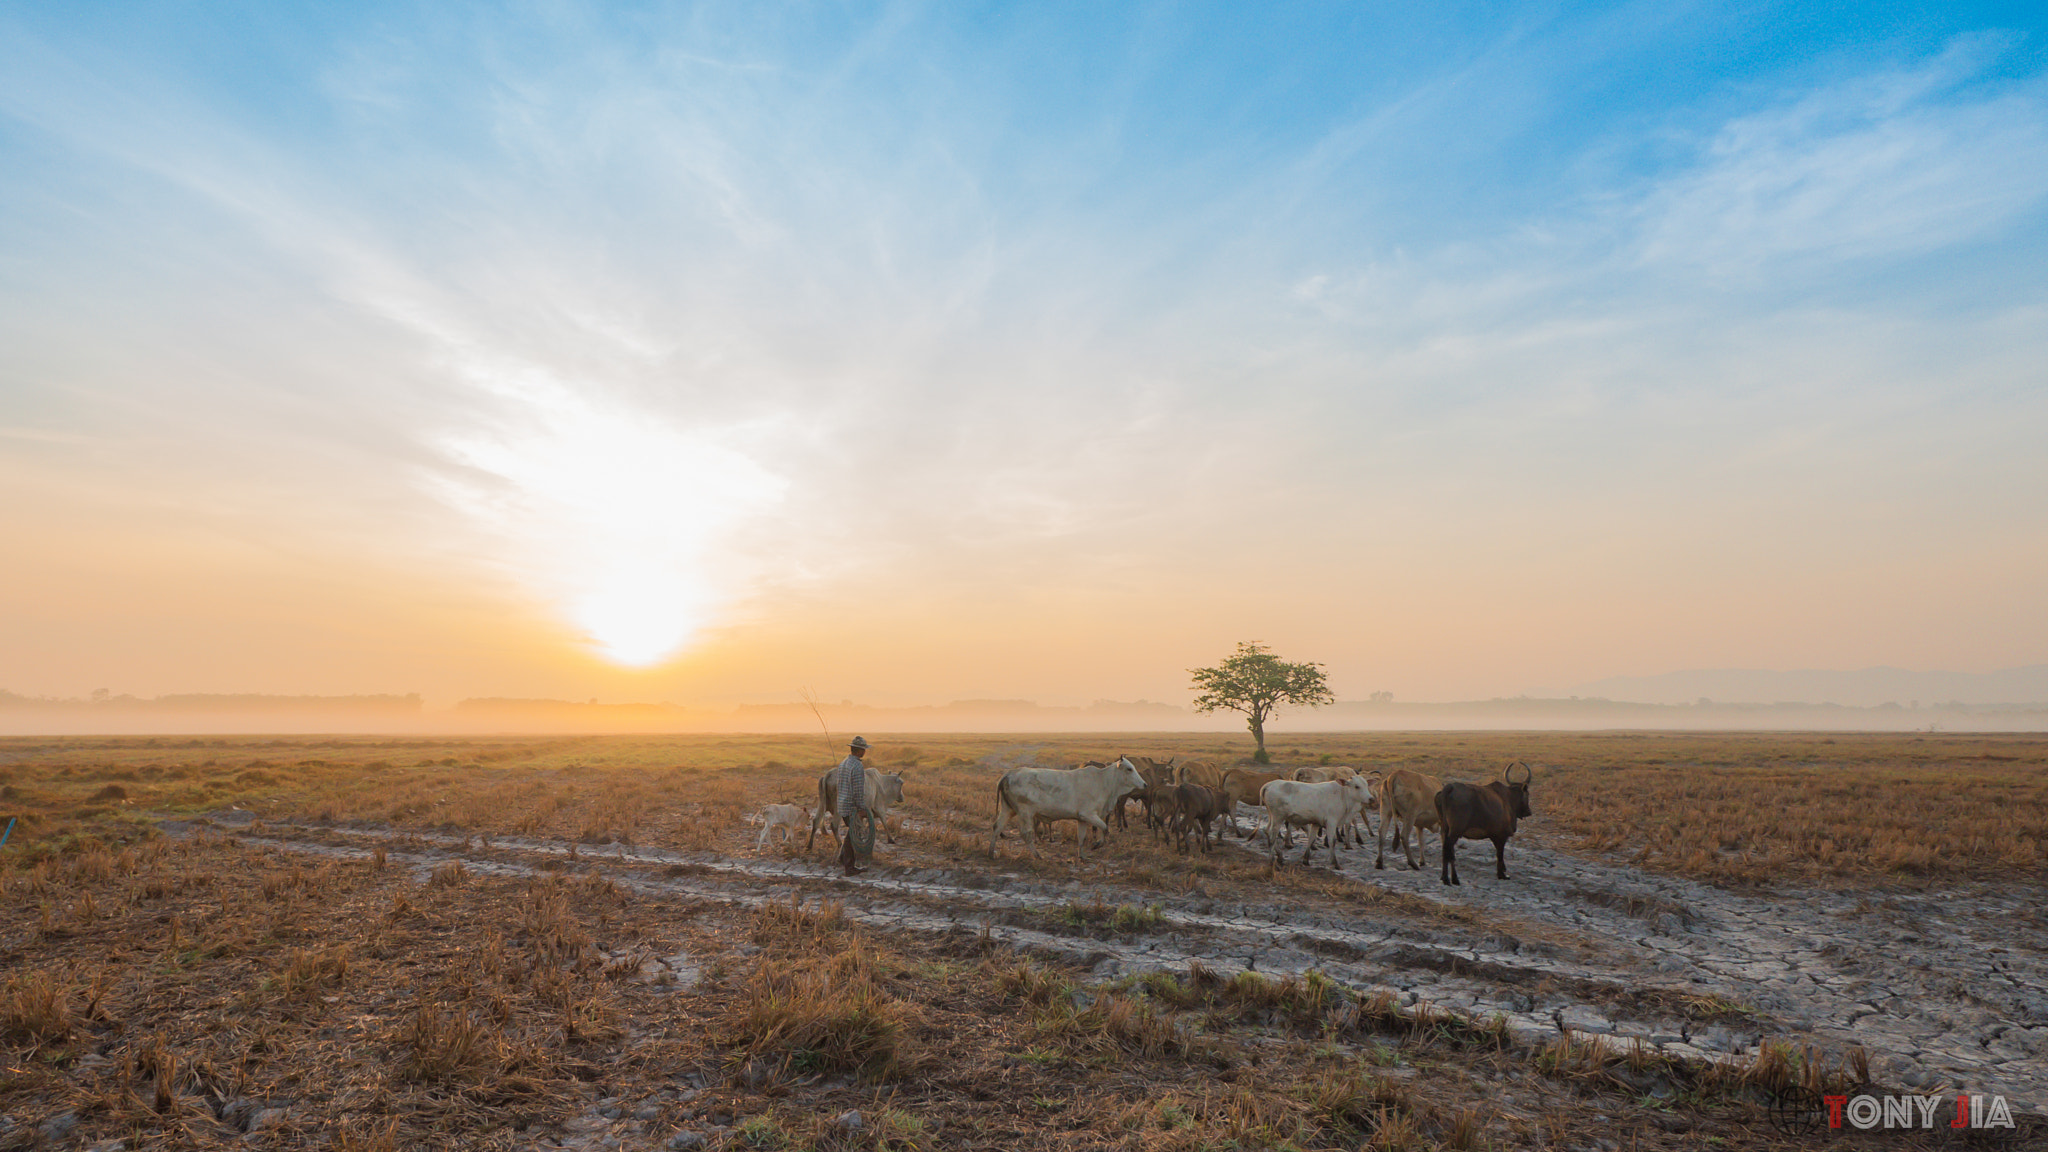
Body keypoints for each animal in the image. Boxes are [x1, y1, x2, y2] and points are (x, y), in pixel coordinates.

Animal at [995, 754, 1155, 852]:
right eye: (1129, 769)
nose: (1145, 784)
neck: (1103, 781)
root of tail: (1008, 775)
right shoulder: (1089, 814)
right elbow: (1104, 828)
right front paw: (1097, 844)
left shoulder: (1083, 818)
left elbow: (1083, 836)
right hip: (1025, 813)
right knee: (1026, 833)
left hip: (1007, 809)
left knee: (998, 827)